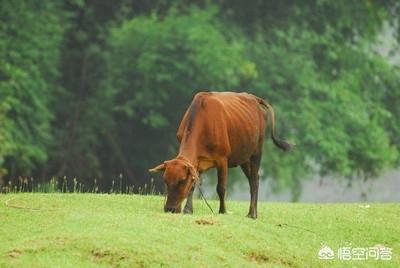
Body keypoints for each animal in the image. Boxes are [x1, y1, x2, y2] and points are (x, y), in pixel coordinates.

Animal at [148, 91, 292, 219]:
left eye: (182, 180)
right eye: (165, 180)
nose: (170, 209)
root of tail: (255, 98)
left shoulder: (222, 159)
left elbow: (221, 188)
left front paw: (222, 211)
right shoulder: (197, 161)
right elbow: (194, 185)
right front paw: (188, 210)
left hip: (257, 150)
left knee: (254, 180)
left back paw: (253, 213)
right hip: (244, 157)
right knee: (253, 177)